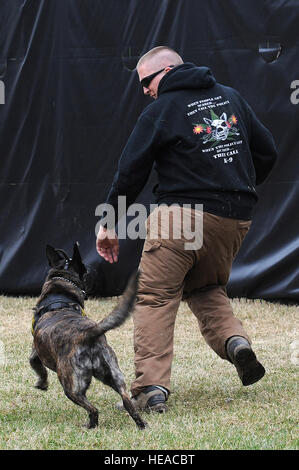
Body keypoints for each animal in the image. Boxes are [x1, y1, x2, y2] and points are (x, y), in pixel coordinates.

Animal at [29, 244, 147, 432]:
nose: (94, 271)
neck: (59, 296)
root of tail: (89, 334)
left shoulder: (35, 354)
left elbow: (39, 369)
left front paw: (42, 384)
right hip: (113, 375)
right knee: (127, 402)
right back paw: (141, 425)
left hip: (72, 387)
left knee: (93, 409)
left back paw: (91, 425)